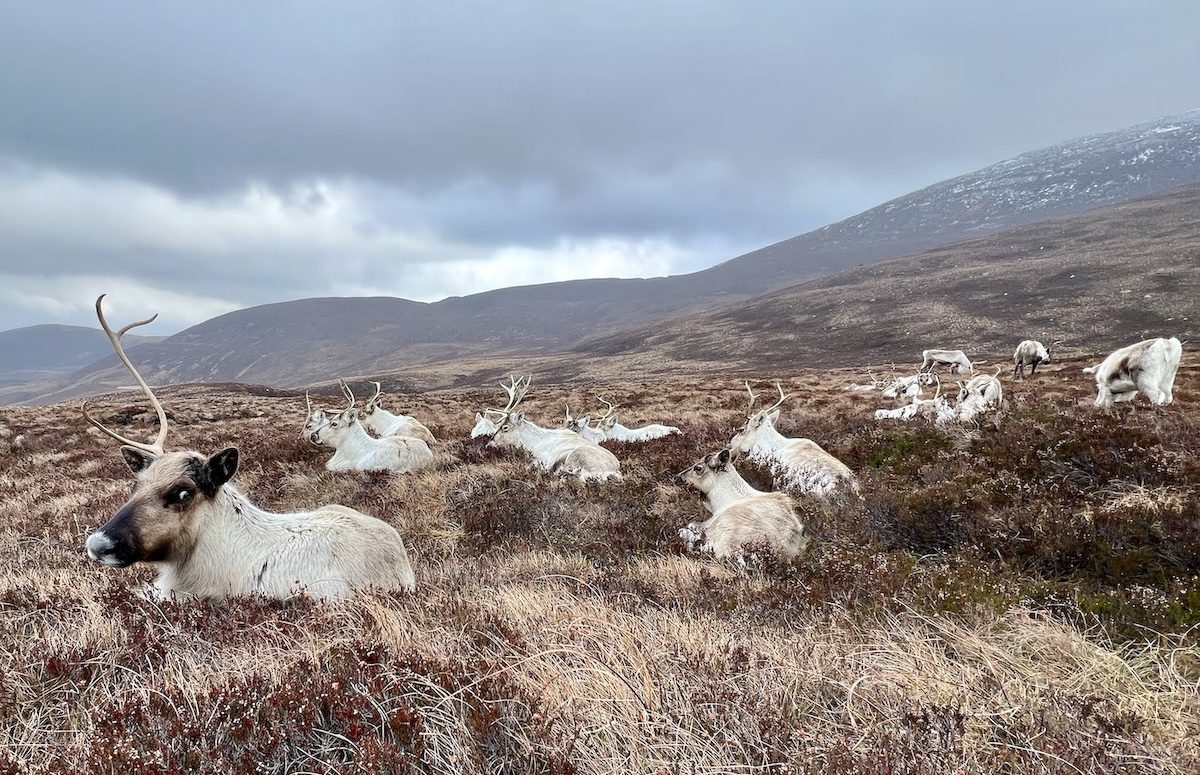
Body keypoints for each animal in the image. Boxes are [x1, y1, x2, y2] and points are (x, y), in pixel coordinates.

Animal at [485, 376, 622, 481]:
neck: (533, 441)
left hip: (575, 456)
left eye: (505, 427)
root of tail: (614, 472)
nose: (489, 444)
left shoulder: (541, 460)